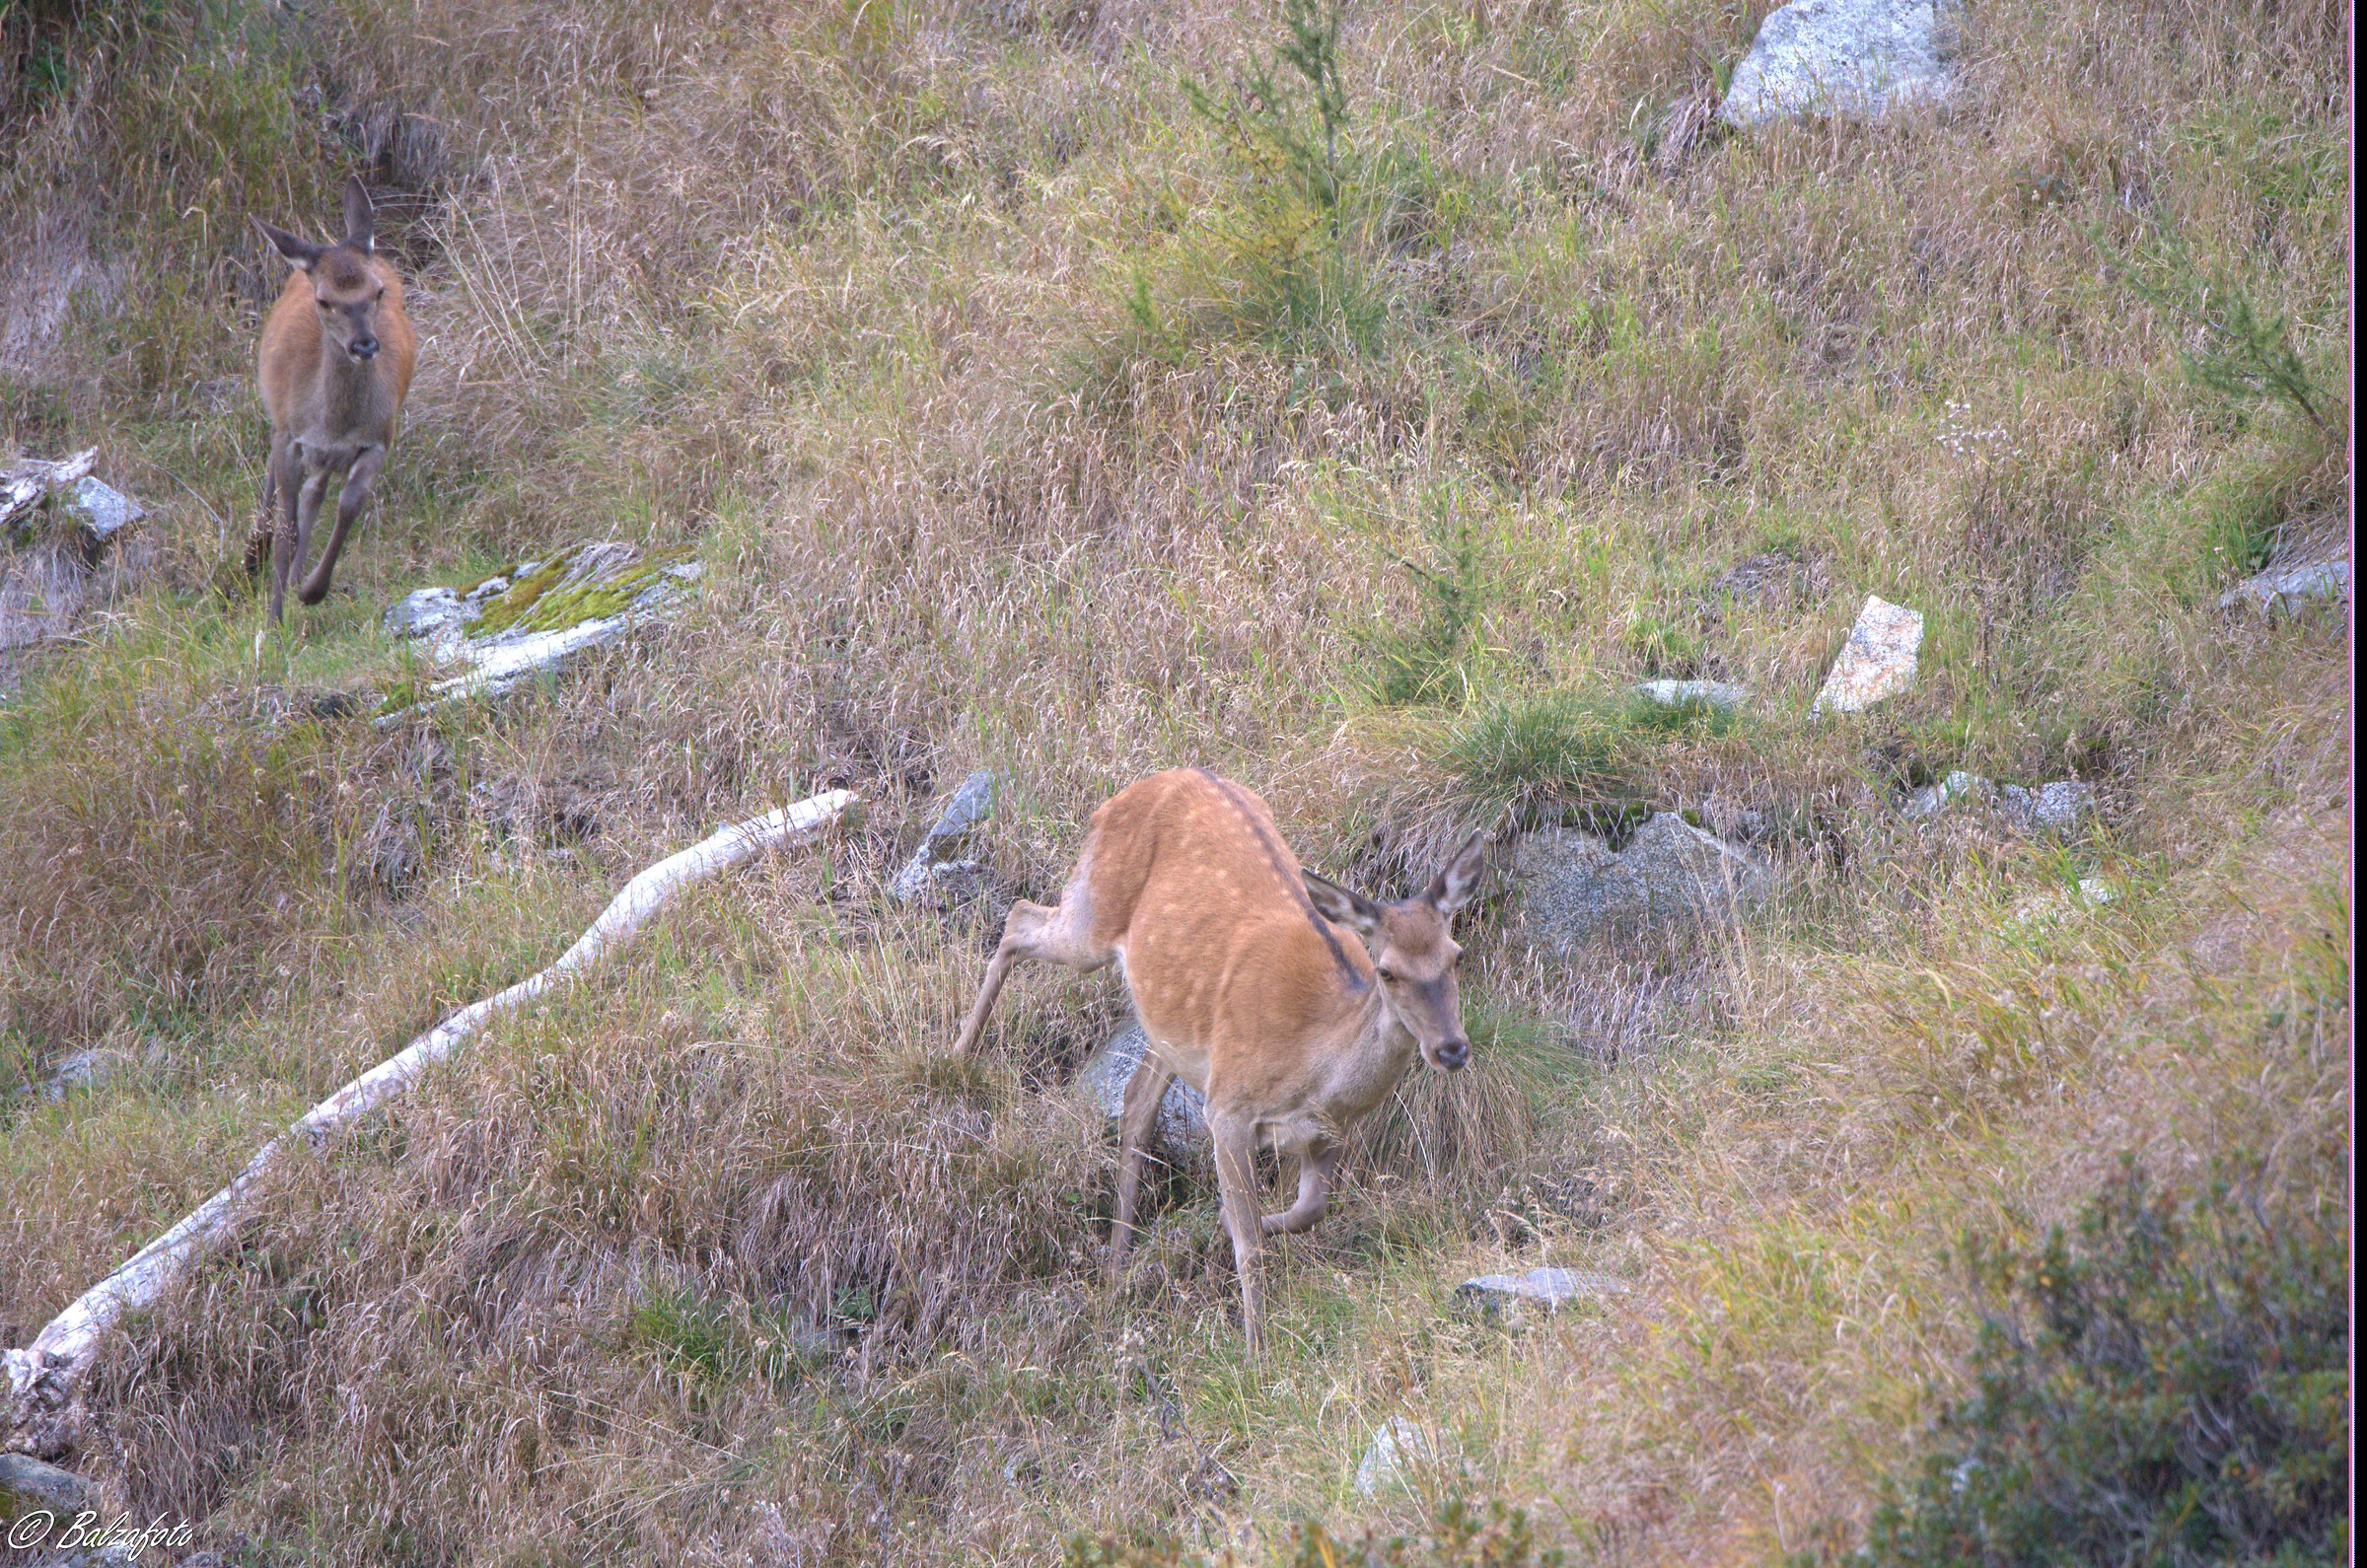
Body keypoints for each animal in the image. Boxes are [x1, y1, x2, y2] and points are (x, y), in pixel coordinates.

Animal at [248, 176, 417, 626]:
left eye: (378, 291)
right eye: (324, 301)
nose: (364, 344)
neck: (334, 424)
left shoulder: (380, 438)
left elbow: (348, 505)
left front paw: (310, 590)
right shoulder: (290, 435)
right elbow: (285, 526)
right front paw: (273, 622)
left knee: (314, 493)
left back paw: (292, 577)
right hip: (277, 417)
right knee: (275, 486)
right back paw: (253, 554)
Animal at [950, 767, 1489, 1357]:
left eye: (1456, 956)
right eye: (1387, 971)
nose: (1451, 1048)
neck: (1315, 1064)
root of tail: (1133, 791)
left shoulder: (1329, 1131)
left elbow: (1309, 1212)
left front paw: (1227, 1223)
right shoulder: (1229, 1108)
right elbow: (1251, 1246)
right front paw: (1256, 1352)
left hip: (1173, 1023)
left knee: (1137, 1097)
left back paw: (1115, 1267)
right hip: (1092, 913)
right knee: (1021, 916)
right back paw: (956, 1057)